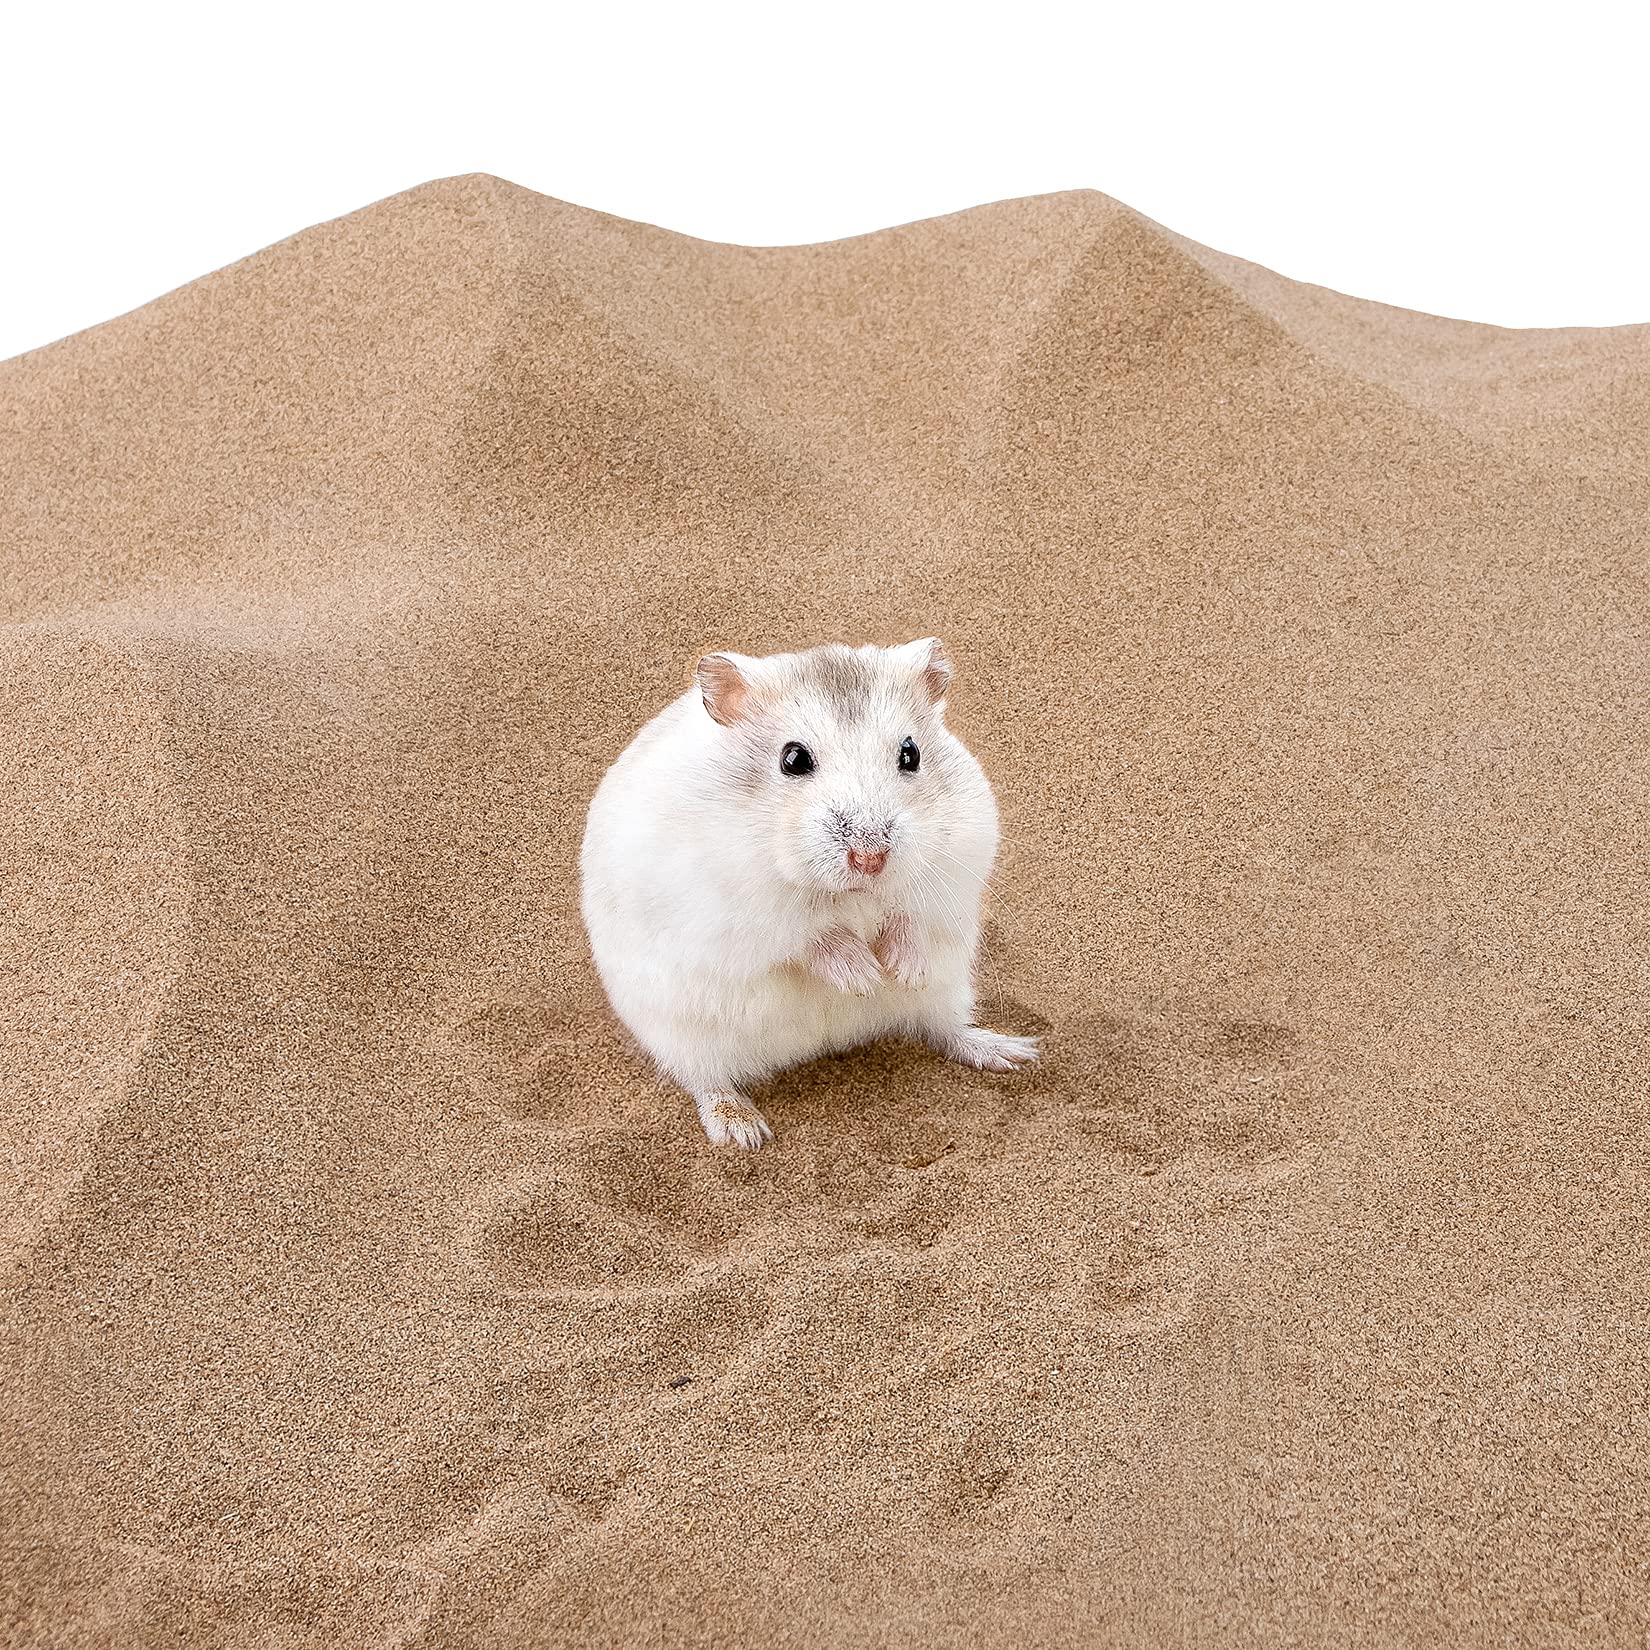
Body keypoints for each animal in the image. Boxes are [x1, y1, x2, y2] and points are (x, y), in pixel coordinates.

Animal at [578, 638, 1036, 1149]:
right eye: (793, 759)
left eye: (911, 753)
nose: (870, 858)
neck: (851, 893)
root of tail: (827, 1042)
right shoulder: (740, 909)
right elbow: (809, 936)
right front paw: (864, 977)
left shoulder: (954, 866)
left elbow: (908, 915)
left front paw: (902, 972)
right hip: (682, 1033)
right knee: (706, 1080)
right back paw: (743, 1131)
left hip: (949, 989)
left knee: (945, 1030)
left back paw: (1011, 1052)